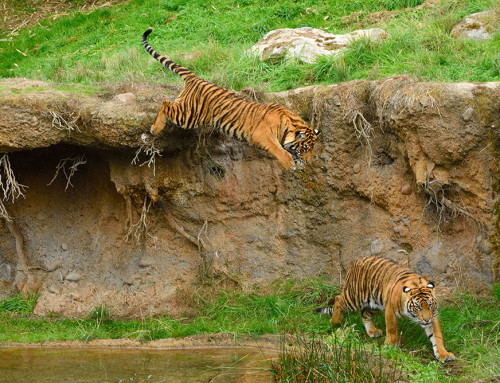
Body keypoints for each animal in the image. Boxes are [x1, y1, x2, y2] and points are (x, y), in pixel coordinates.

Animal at [141, 27, 320, 170]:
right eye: (305, 149)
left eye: (312, 149)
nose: (309, 162)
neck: (288, 125)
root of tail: (195, 78)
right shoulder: (262, 134)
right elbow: (277, 149)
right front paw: (289, 163)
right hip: (189, 114)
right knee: (165, 104)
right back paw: (154, 129)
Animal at [318, 256, 456, 362]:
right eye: (417, 307)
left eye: (430, 305)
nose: (426, 320)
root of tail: (355, 261)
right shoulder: (390, 310)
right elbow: (391, 328)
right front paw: (391, 344)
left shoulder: (433, 317)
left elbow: (437, 336)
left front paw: (443, 354)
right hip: (353, 298)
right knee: (338, 299)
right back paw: (335, 321)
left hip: (374, 303)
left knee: (364, 314)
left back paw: (372, 331)